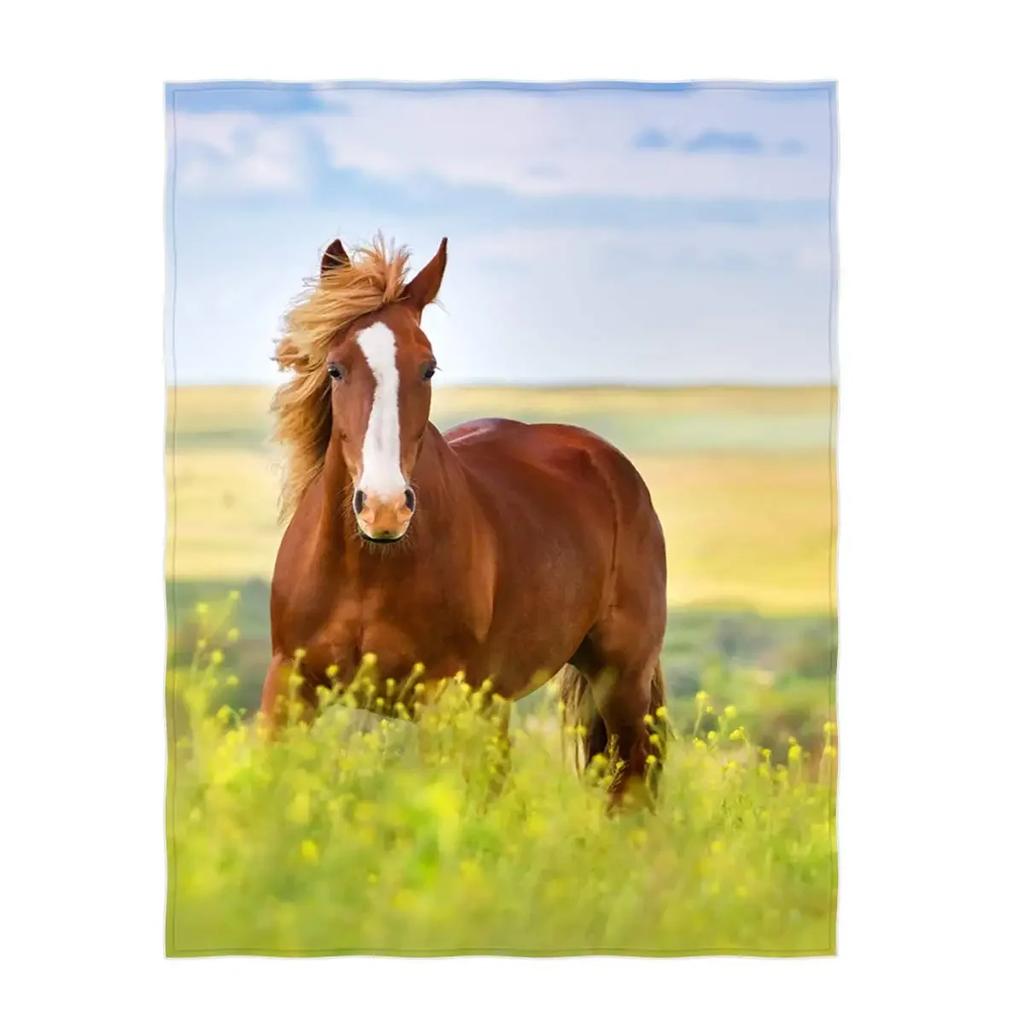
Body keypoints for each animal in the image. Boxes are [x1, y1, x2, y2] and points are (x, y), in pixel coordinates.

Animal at [262, 235, 668, 802]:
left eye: (428, 367)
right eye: (336, 369)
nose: (384, 508)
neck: (369, 569)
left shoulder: (440, 698)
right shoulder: (289, 685)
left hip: (622, 680)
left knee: (629, 787)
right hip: (497, 702)